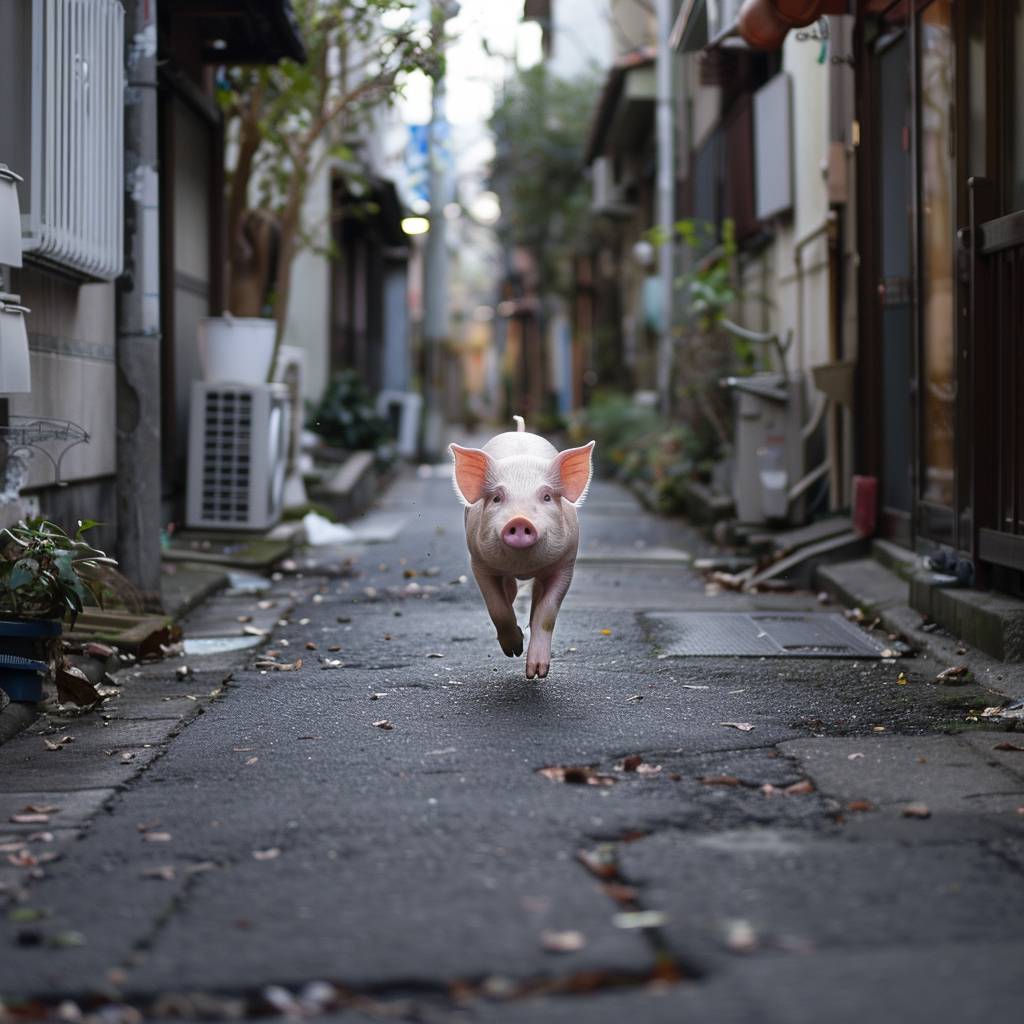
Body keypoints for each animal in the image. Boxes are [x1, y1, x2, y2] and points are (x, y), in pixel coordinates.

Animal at [446, 415, 593, 679]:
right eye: (497, 498)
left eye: (547, 497)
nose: (520, 520)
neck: (522, 565)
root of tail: (520, 431)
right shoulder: (479, 563)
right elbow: (497, 607)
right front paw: (514, 650)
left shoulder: (565, 563)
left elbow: (547, 613)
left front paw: (537, 673)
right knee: (510, 591)